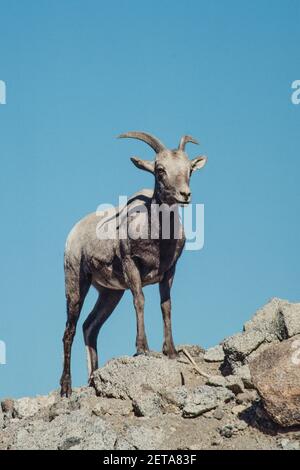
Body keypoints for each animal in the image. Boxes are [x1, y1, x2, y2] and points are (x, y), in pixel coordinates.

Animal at [59, 131, 207, 396]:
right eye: (160, 170)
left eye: (189, 168)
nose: (185, 194)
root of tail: (73, 234)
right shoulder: (132, 266)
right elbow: (140, 301)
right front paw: (142, 348)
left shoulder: (169, 272)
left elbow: (166, 306)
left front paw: (171, 351)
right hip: (76, 283)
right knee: (70, 330)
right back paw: (66, 388)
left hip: (110, 293)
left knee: (90, 327)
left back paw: (93, 377)